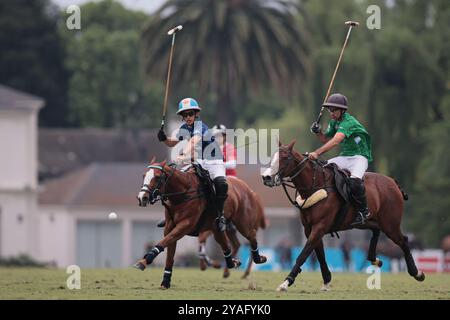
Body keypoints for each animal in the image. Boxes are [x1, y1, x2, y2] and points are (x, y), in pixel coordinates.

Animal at [134, 160, 268, 288]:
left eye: (157, 177)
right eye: (144, 175)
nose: (142, 198)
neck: (183, 193)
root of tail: (250, 191)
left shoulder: (185, 225)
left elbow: (163, 243)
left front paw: (144, 261)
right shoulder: (169, 227)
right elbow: (169, 253)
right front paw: (165, 282)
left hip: (243, 224)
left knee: (251, 237)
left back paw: (258, 259)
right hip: (218, 229)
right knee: (229, 244)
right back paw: (231, 263)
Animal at [262, 141, 424, 292]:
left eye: (284, 157)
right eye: (273, 156)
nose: (266, 177)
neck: (316, 185)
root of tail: (393, 182)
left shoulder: (319, 227)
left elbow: (304, 254)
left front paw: (286, 282)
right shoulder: (310, 229)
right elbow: (319, 254)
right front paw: (326, 281)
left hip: (390, 223)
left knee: (403, 240)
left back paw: (417, 273)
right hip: (366, 222)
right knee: (376, 230)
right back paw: (375, 260)